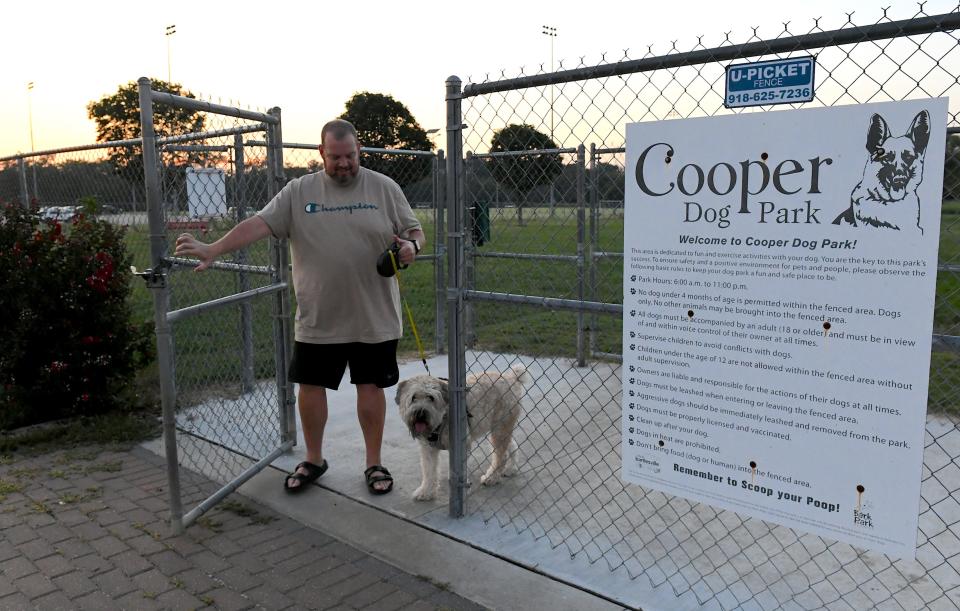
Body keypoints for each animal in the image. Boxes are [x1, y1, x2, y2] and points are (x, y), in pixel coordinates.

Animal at [398, 366, 532, 500]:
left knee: (501, 456)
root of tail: (512, 377)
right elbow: (429, 471)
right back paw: (511, 468)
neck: (442, 418)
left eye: (431, 398)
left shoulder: (462, 445)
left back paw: (491, 478)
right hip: (500, 429)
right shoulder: (428, 449)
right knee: (512, 446)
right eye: (413, 398)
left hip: (499, 429)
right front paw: (426, 492)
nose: (420, 414)